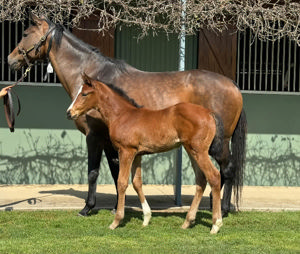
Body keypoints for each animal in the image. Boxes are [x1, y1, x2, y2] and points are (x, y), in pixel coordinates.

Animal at [67, 74, 224, 234]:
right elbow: (137, 183)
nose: (69, 112)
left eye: (84, 94)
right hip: (191, 150)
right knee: (201, 180)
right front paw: (146, 218)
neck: (122, 115)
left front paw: (116, 221)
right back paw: (187, 222)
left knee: (214, 176)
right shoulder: (137, 155)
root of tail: (209, 113)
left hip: (199, 151)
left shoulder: (126, 151)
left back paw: (216, 224)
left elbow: (122, 182)